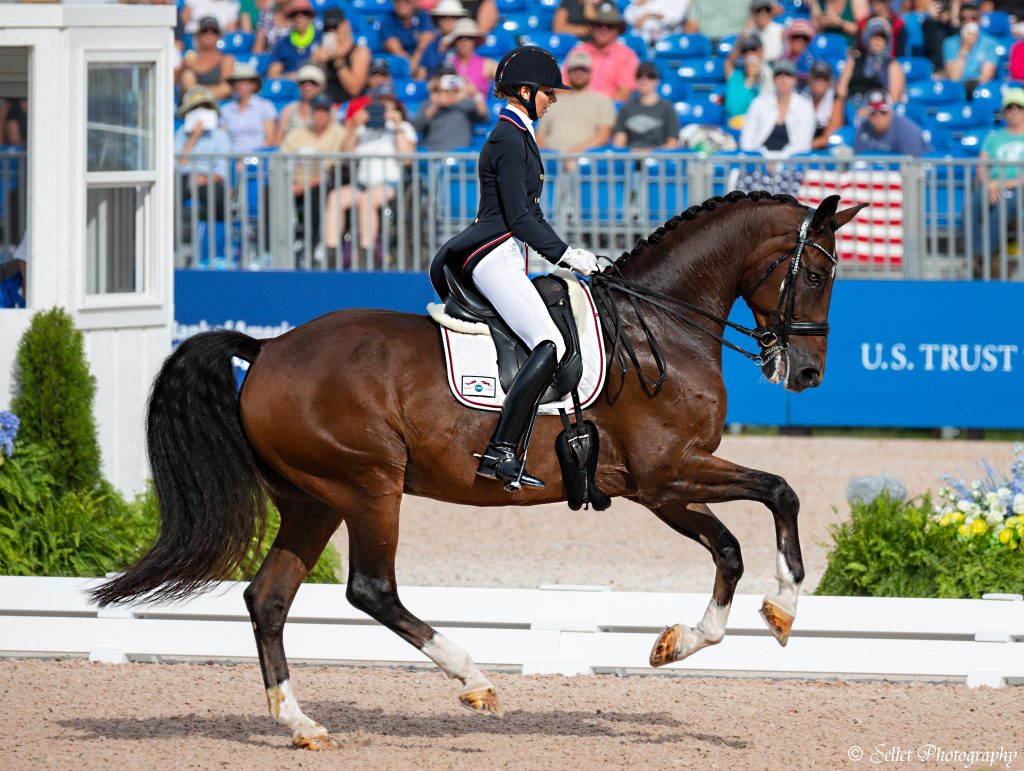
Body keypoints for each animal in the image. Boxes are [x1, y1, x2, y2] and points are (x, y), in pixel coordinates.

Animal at [93, 190, 866, 750]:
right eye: (818, 273)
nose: (807, 374)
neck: (662, 329)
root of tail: (268, 350)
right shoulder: (667, 473)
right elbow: (780, 492)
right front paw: (783, 608)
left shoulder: (660, 486)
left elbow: (732, 544)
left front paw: (679, 643)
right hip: (368, 487)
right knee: (371, 589)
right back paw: (474, 679)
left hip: (315, 501)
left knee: (269, 598)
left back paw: (302, 724)